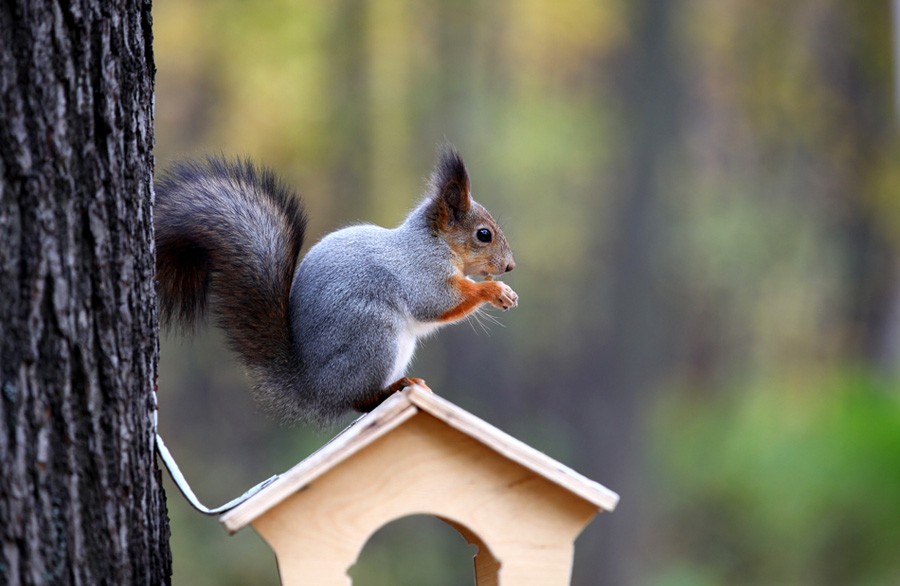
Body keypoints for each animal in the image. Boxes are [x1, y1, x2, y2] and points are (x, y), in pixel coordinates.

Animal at [156, 146, 520, 424]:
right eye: (483, 235)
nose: (509, 266)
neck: (434, 242)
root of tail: (314, 389)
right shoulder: (419, 271)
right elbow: (436, 302)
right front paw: (493, 291)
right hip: (374, 337)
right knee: (360, 401)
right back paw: (396, 387)